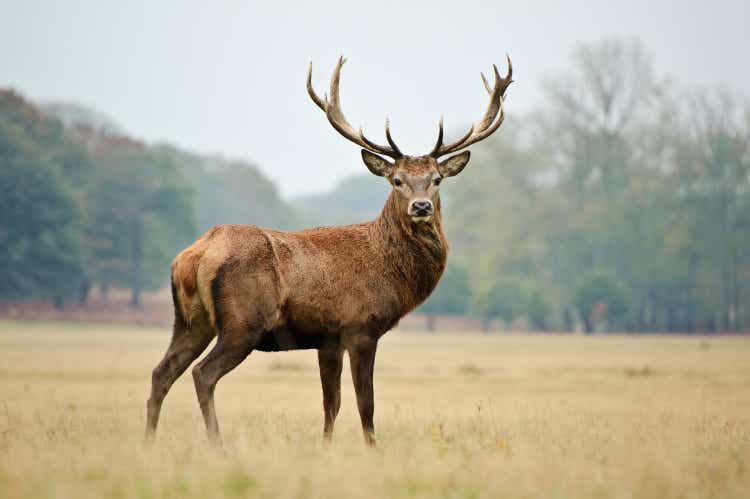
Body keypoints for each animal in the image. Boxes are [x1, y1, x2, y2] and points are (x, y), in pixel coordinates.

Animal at [145, 54, 516, 446]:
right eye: (396, 180)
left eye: (437, 179)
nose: (421, 206)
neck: (388, 270)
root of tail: (194, 255)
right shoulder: (360, 327)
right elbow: (365, 403)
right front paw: (372, 448)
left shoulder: (328, 339)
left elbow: (331, 404)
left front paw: (326, 446)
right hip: (243, 321)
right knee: (203, 374)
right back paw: (217, 444)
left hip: (190, 320)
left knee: (161, 372)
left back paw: (148, 441)